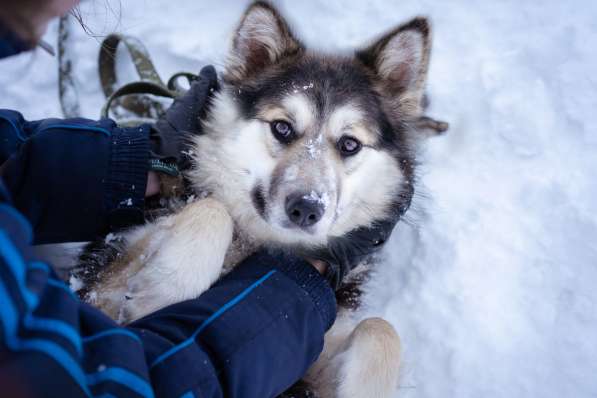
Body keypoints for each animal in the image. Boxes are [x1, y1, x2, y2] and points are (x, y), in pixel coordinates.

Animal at [74, 1, 444, 396]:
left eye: (349, 144)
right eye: (282, 127)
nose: (307, 209)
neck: (256, 243)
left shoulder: (312, 340)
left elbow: (381, 330)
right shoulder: (98, 289)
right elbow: (213, 209)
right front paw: (164, 290)